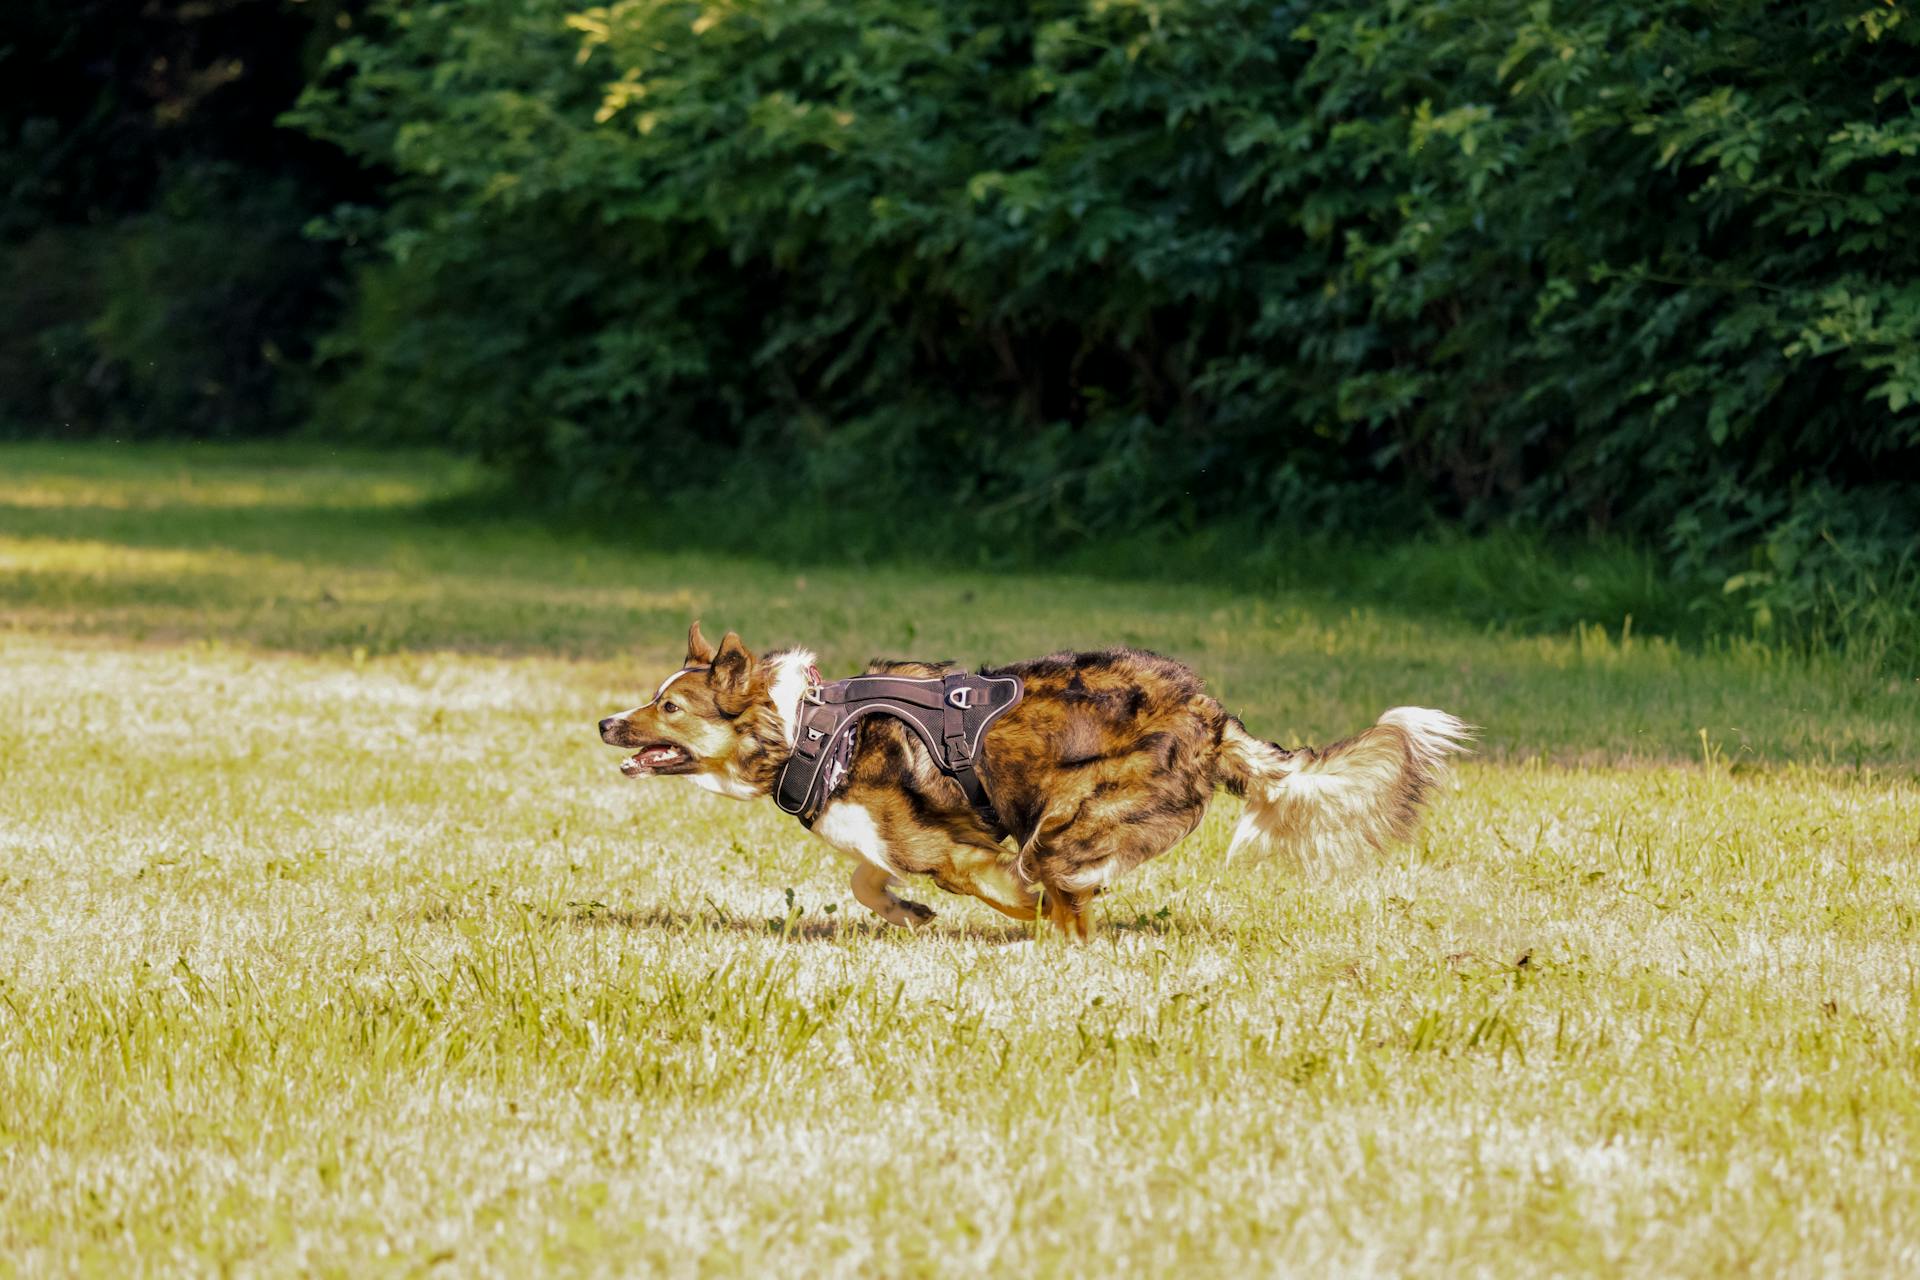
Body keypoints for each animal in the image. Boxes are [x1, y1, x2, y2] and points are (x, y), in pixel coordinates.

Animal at [599, 621, 1466, 940]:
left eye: (668, 707)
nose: (606, 723)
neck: (808, 728)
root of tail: (1213, 717)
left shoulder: (961, 850)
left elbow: (981, 883)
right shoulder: (887, 840)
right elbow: (867, 880)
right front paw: (909, 914)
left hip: (1065, 825)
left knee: (1060, 894)